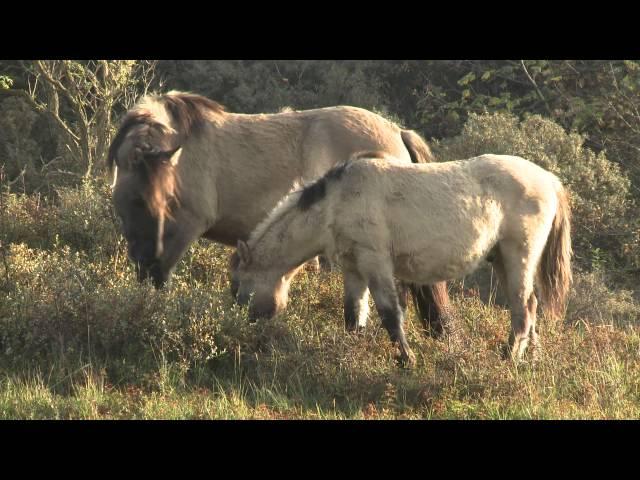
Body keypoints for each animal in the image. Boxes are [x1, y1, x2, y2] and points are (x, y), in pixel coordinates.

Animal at [107, 92, 452, 334]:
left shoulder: (185, 228)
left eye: (163, 197)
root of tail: (397, 132)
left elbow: (160, 278)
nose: (147, 254)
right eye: (136, 199)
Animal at [232, 153, 572, 364]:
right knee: (529, 308)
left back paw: (508, 360)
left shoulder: (375, 263)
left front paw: (407, 361)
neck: (335, 204)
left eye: (240, 293)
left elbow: (390, 315)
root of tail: (549, 179)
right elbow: (353, 316)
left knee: (523, 310)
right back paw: (531, 361)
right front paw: (351, 353)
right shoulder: (353, 269)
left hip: (518, 256)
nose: (249, 334)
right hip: (501, 259)